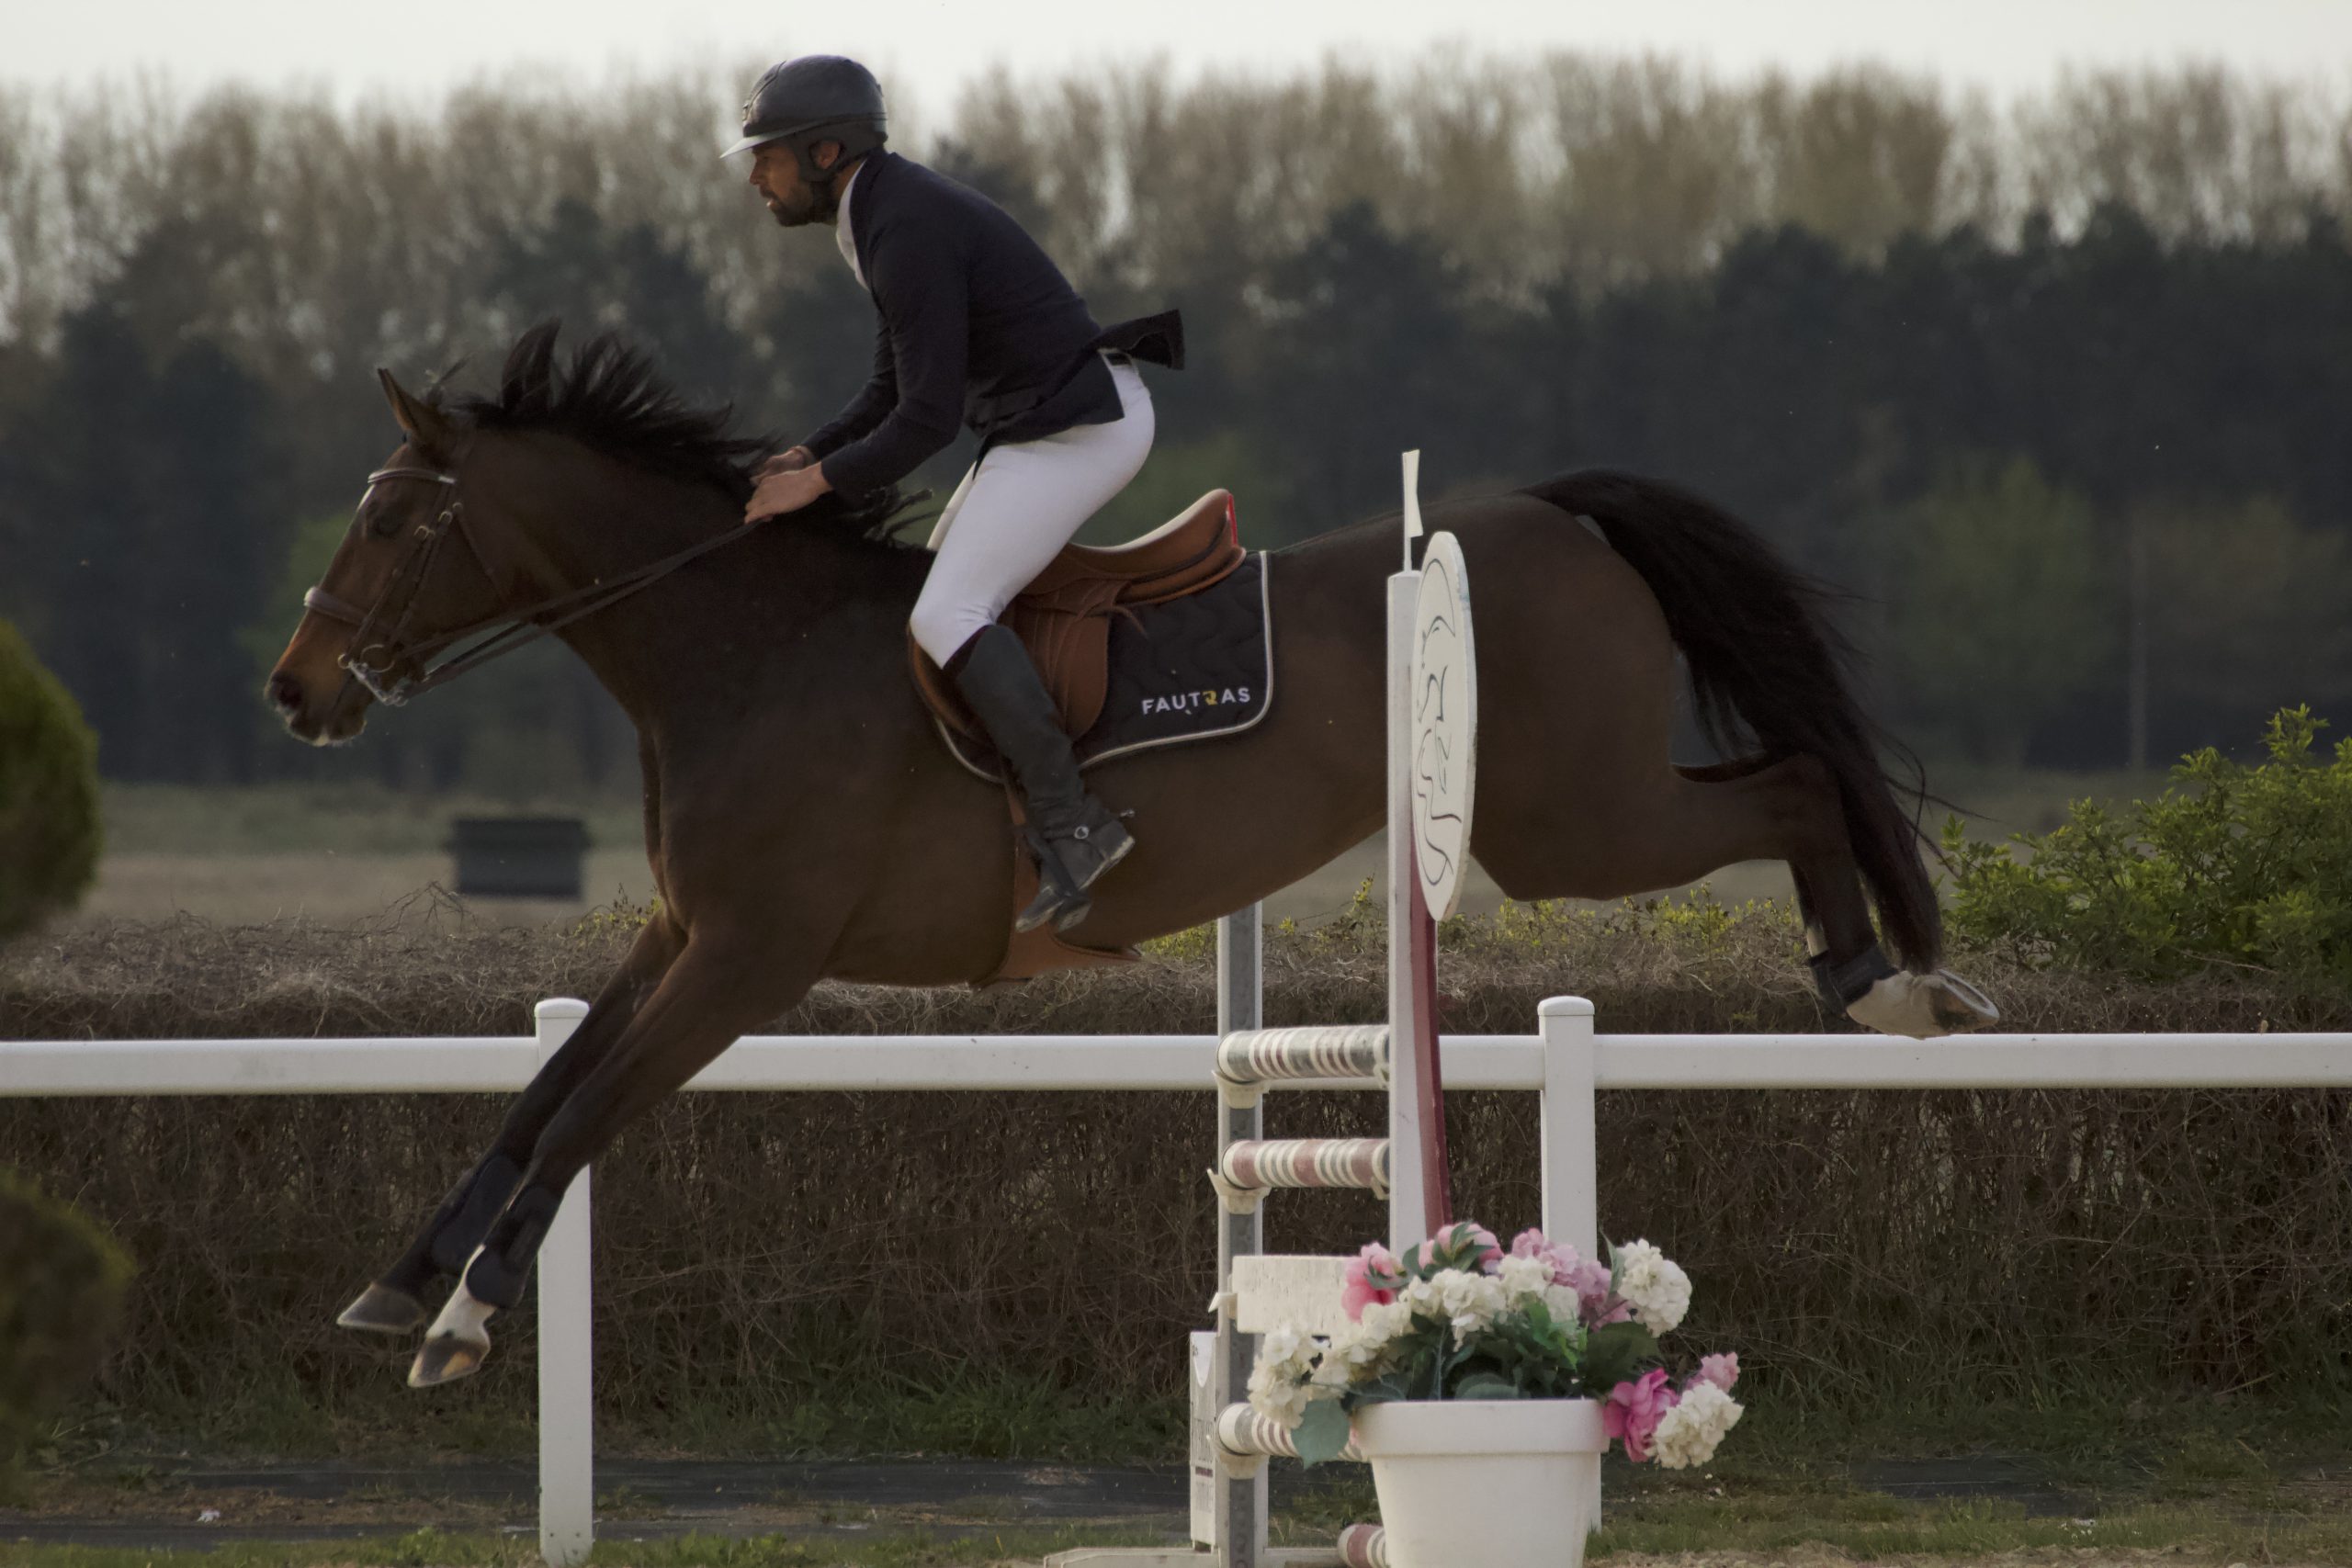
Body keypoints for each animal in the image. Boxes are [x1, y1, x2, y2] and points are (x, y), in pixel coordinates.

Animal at [264, 322, 1995, 1387]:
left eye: (393, 522)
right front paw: (402, 1281)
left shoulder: (753, 959)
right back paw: (1881, 976)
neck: (737, 648)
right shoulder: (686, 938)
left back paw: (1884, 981)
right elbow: (543, 1090)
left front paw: (464, 1320)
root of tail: (1552, 514)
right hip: (1576, 808)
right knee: (1789, 773)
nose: (294, 692)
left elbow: (586, 1114)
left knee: (1797, 783)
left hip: (1567, 822)